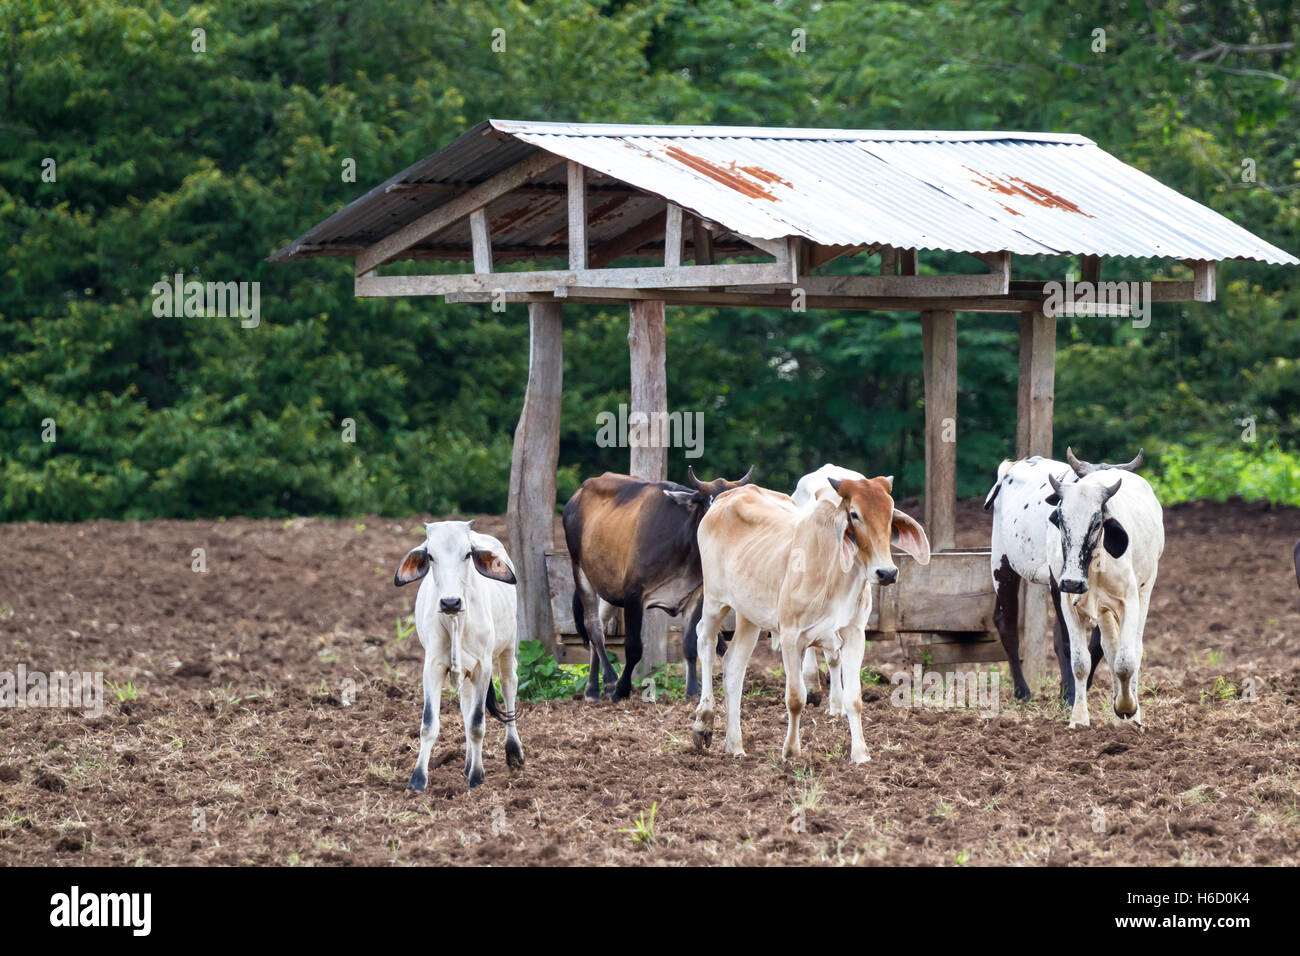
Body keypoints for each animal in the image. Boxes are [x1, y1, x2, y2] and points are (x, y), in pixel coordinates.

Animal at [392, 520, 520, 790]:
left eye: (468, 554)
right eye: (431, 556)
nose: (450, 602)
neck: (455, 621)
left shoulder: (483, 667)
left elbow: (477, 724)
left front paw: (477, 777)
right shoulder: (432, 667)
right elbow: (429, 724)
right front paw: (417, 779)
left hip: (509, 644)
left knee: (509, 686)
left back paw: (513, 751)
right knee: (466, 705)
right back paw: (468, 762)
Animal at [564, 465, 759, 697]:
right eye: (709, 504)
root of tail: (578, 494)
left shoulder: (696, 595)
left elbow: (690, 644)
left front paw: (692, 690)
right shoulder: (633, 595)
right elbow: (633, 648)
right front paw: (622, 689)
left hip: (608, 589)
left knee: (600, 627)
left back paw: (594, 686)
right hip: (580, 572)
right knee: (593, 627)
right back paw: (605, 682)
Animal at [696, 476, 930, 764]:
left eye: (889, 513)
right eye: (855, 514)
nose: (886, 573)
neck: (837, 574)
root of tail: (727, 497)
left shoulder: (854, 635)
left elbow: (854, 698)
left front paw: (860, 754)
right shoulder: (790, 636)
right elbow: (796, 698)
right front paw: (791, 751)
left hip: (748, 616)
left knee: (733, 666)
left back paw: (735, 745)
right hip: (714, 601)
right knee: (705, 642)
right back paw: (704, 722)